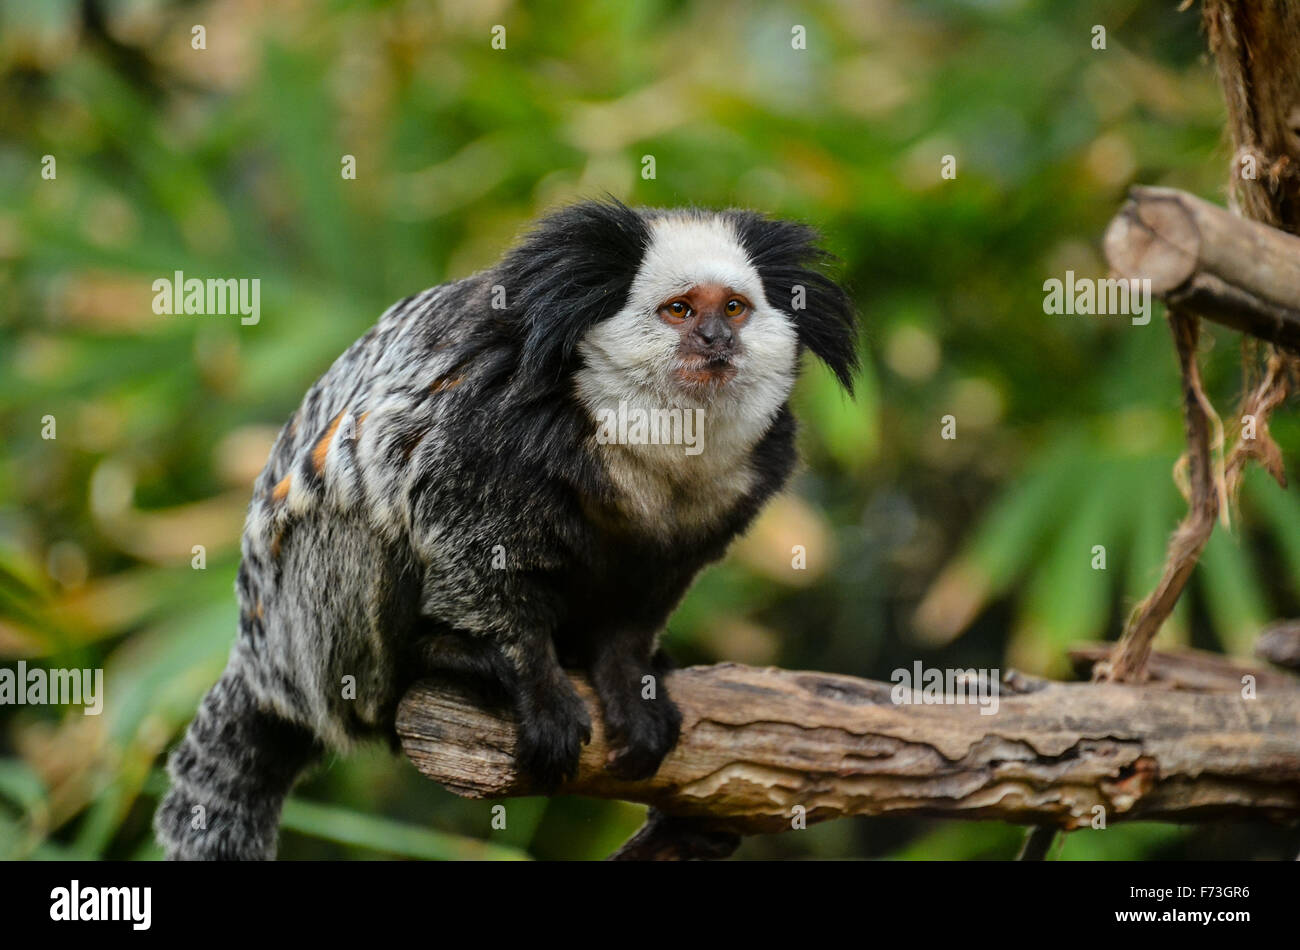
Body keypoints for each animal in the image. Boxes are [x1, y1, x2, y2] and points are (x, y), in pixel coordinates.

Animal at [157, 200, 857, 862]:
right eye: (679, 310)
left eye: (735, 308)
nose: (715, 339)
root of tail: (262, 661)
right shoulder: (485, 420)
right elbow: (472, 559)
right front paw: (535, 689)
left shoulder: (732, 490)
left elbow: (639, 610)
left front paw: (632, 681)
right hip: (310, 644)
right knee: (353, 521)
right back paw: (438, 662)